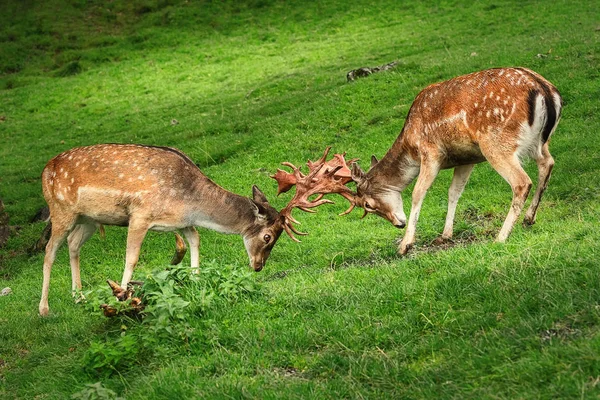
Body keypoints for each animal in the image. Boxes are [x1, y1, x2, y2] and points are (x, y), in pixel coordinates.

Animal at [37, 144, 340, 316]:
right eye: (267, 237)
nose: (258, 266)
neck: (188, 199)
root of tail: (45, 168)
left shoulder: (182, 222)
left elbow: (195, 240)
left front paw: (195, 281)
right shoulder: (140, 215)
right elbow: (131, 258)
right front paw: (122, 299)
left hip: (88, 218)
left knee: (73, 244)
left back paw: (78, 296)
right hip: (61, 209)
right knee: (49, 250)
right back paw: (44, 308)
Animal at [346, 66, 564, 253]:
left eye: (367, 205)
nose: (399, 224)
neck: (410, 145)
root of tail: (544, 90)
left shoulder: (431, 152)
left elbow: (418, 192)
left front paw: (405, 245)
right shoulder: (467, 158)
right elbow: (454, 192)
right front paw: (445, 235)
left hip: (496, 143)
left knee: (522, 181)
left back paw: (500, 237)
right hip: (539, 143)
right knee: (548, 163)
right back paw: (529, 219)